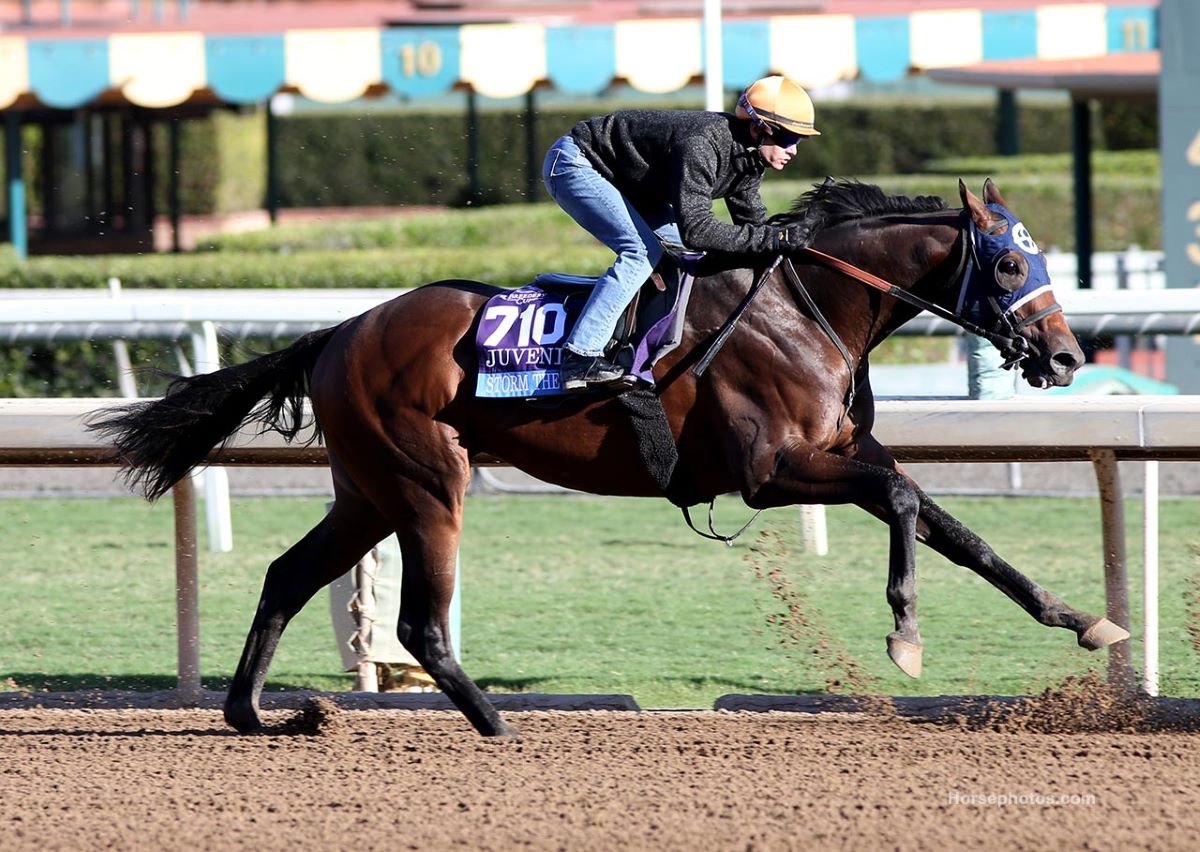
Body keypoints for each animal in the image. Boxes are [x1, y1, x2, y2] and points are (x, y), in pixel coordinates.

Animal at [88, 176, 1128, 739]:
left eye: (1038, 259)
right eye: (1008, 264)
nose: (1067, 358)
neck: (811, 306)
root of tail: (339, 330)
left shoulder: (840, 450)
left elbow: (956, 529)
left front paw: (1084, 621)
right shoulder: (771, 473)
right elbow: (909, 504)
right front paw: (905, 635)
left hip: (368, 489)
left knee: (287, 573)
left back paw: (253, 714)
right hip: (426, 478)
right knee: (420, 620)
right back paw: (494, 720)